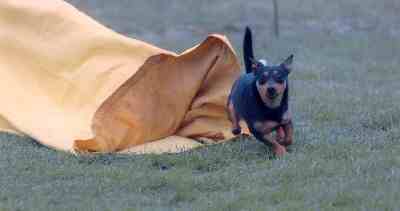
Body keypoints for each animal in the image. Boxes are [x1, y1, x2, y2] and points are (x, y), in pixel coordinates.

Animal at [228, 26, 294, 157]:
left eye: (279, 77)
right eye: (263, 78)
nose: (271, 88)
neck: (271, 107)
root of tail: (250, 72)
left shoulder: (287, 120)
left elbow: (289, 137)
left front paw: (284, 142)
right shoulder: (257, 132)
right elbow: (272, 142)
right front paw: (281, 151)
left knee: (278, 128)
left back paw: (280, 135)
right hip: (231, 102)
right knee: (233, 114)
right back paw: (235, 128)